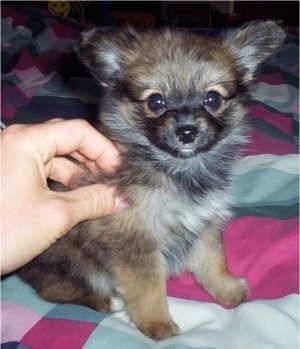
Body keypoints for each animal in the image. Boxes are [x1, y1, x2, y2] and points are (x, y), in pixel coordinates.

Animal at [19, 20, 286, 338]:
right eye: (156, 101)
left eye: (212, 99)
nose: (187, 131)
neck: (177, 170)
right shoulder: (135, 240)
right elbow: (148, 289)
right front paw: (158, 323)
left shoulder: (204, 223)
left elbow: (213, 261)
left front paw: (227, 288)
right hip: (72, 261)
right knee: (55, 289)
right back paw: (104, 300)